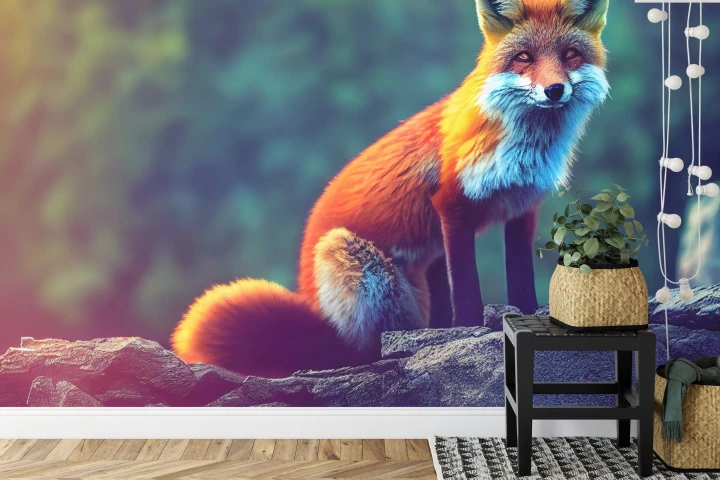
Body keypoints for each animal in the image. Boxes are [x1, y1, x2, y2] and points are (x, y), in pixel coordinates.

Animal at [172, 0, 611, 378]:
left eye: (570, 54)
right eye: (524, 58)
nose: (554, 90)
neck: (523, 146)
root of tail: (311, 301)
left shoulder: (522, 206)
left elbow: (520, 280)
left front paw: (523, 314)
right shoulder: (451, 205)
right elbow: (467, 287)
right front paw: (471, 330)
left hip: (425, 267)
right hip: (354, 258)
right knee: (362, 348)